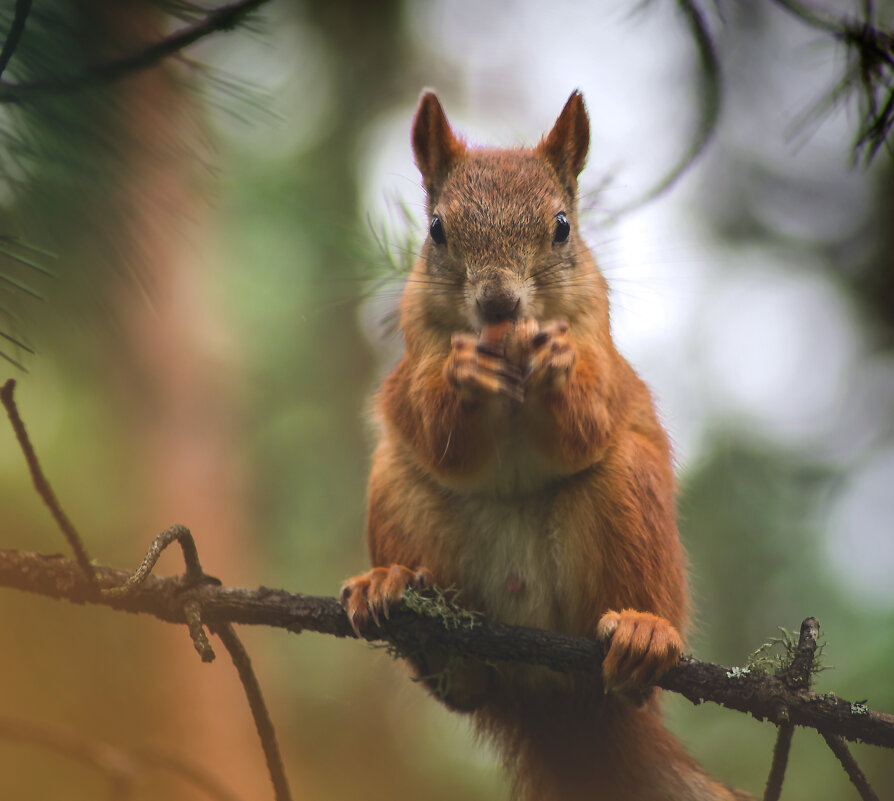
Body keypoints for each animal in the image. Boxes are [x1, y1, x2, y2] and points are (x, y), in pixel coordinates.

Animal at [344, 90, 748, 796]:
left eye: (561, 226)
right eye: (437, 229)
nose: (499, 303)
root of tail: (545, 693)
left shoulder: (603, 358)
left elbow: (586, 423)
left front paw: (555, 365)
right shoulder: (412, 363)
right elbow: (435, 431)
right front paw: (462, 375)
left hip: (628, 504)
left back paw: (643, 633)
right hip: (398, 492)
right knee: (462, 684)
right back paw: (400, 601)